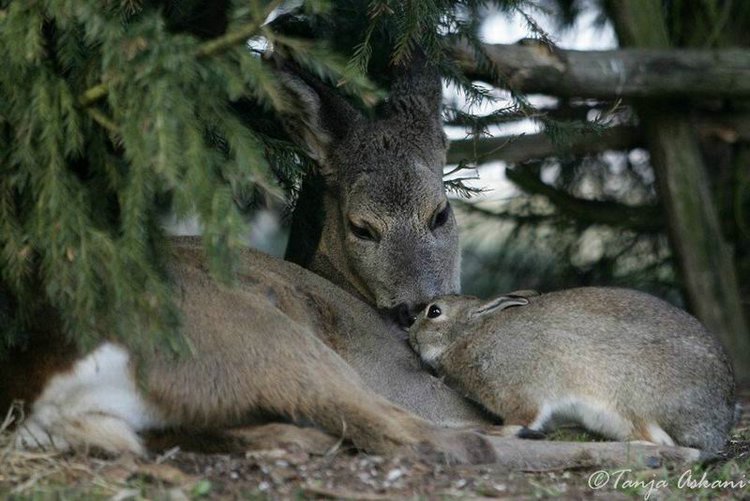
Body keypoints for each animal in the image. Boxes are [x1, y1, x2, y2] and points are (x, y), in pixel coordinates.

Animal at [1, 52, 704, 466]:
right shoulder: (392, 369)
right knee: (436, 440)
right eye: (360, 227)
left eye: (440, 213)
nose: (415, 308)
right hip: (261, 335)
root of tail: (46, 387)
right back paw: (657, 456)